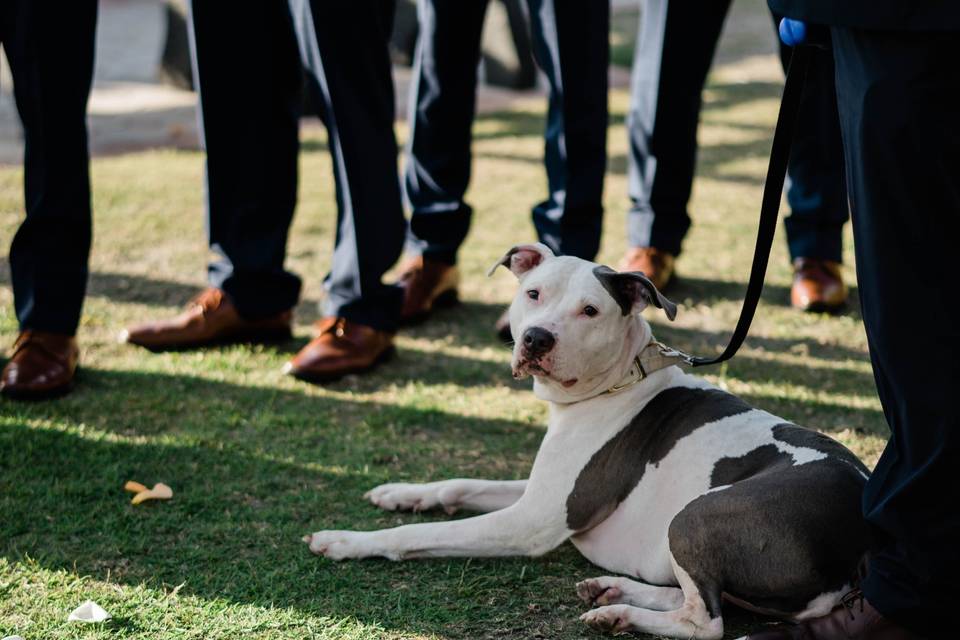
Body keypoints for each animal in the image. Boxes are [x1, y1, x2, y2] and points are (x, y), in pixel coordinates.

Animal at [302, 242, 872, 636]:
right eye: (533, 294)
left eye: (590, 311)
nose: (536, 338)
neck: (619, 380)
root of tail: (858, 540)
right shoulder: (543, 494)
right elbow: (459, 484)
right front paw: (400, 493)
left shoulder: (531, 523)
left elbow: (420, 536)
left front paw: (348, 541)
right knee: (697, 598)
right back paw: (615, 590)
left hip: (694, 517)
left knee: (705, 622)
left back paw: (622, 613)